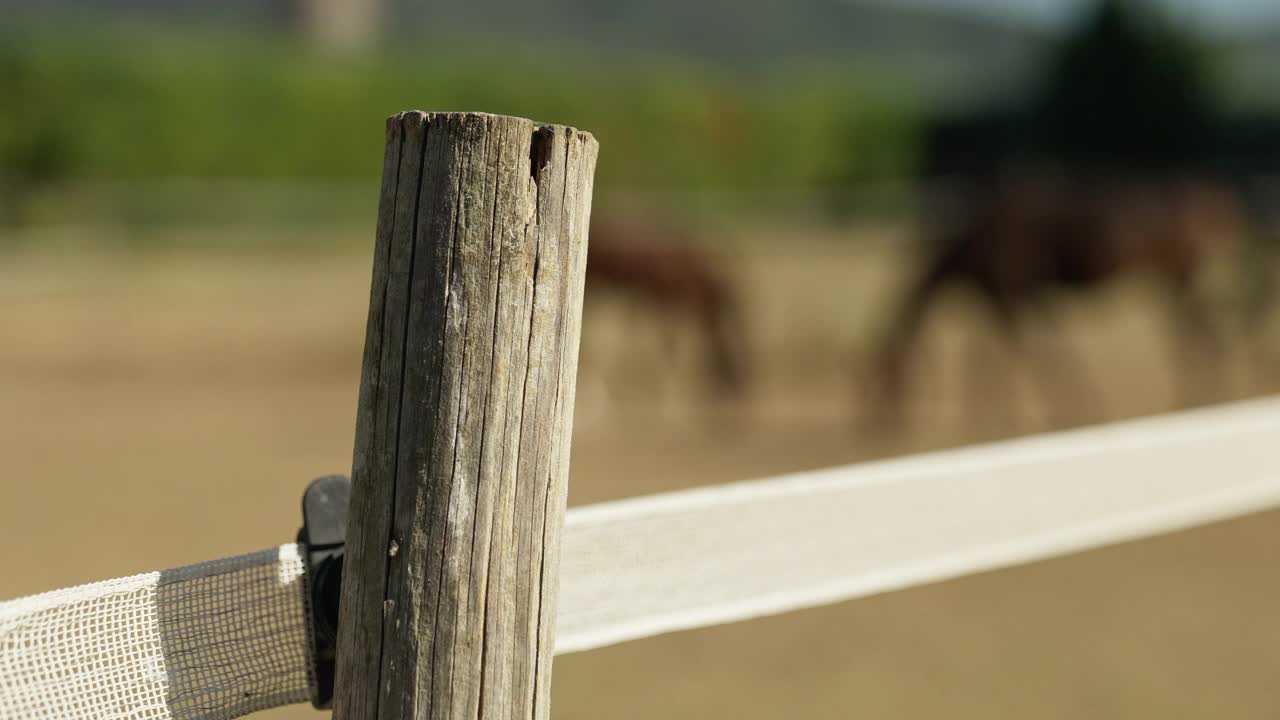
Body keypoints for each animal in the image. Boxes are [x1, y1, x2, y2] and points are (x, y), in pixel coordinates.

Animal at [875, 169, 1244, 420]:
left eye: (886, 374)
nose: (883, 422)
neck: (976, 244)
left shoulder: (1011, 297)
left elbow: (1035, 351)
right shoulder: (1015, 297)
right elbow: (1001, 353)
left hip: (1176, 276)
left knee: (1197, 329)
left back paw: (1198, 396)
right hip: (1174, 278)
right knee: (1199, 329)